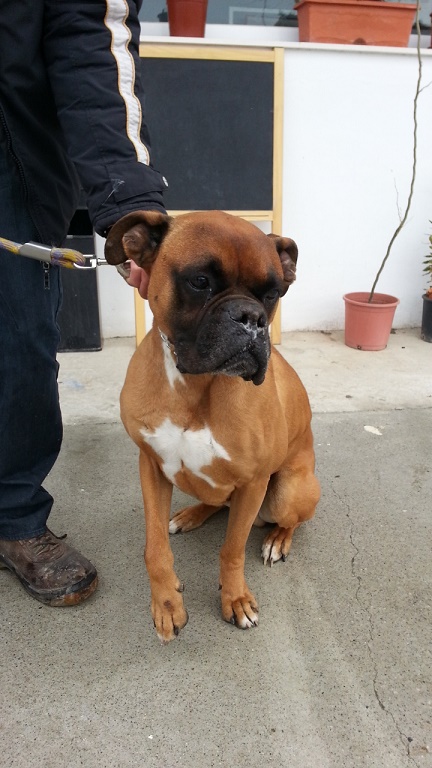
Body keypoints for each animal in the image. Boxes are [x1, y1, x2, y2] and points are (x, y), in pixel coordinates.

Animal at [105, 210, 320, 643]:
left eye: (272, 293)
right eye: (200, 281)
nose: (252, 318)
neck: (196, 385)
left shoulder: (253, 483)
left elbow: (232, 549)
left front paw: (234, 599)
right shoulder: (151, 466)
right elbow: (155, 548)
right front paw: (166, 602)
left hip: (287, 490)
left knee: (287, 519)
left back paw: (277, 539)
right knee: (215, 501)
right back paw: (190, 515)